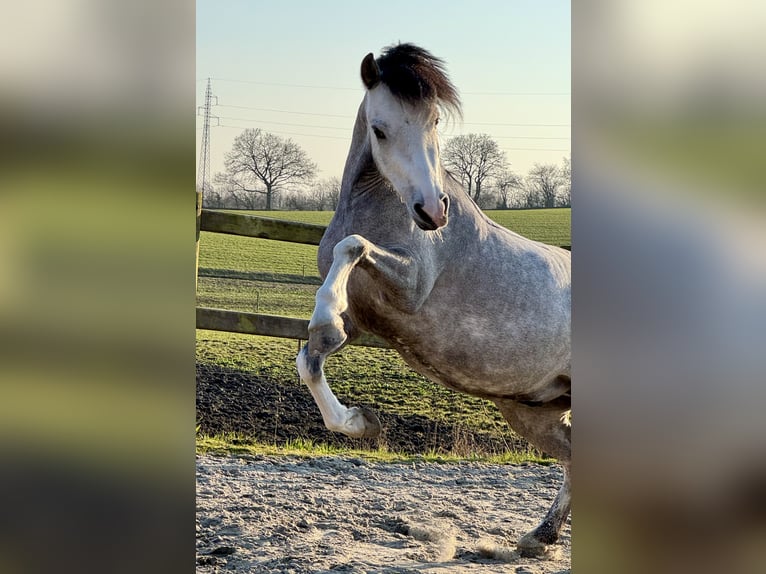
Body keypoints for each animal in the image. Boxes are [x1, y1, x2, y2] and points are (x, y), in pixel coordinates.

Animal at [296, 43, 571, 557]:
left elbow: (353, 248)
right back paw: (538, 538)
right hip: (531, 411)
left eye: (435, 121)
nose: (431, 211)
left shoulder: (410, 287)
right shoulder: (368, 319)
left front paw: (325, 317)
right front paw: (362, 422)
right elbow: (312, 359)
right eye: (380, 128)